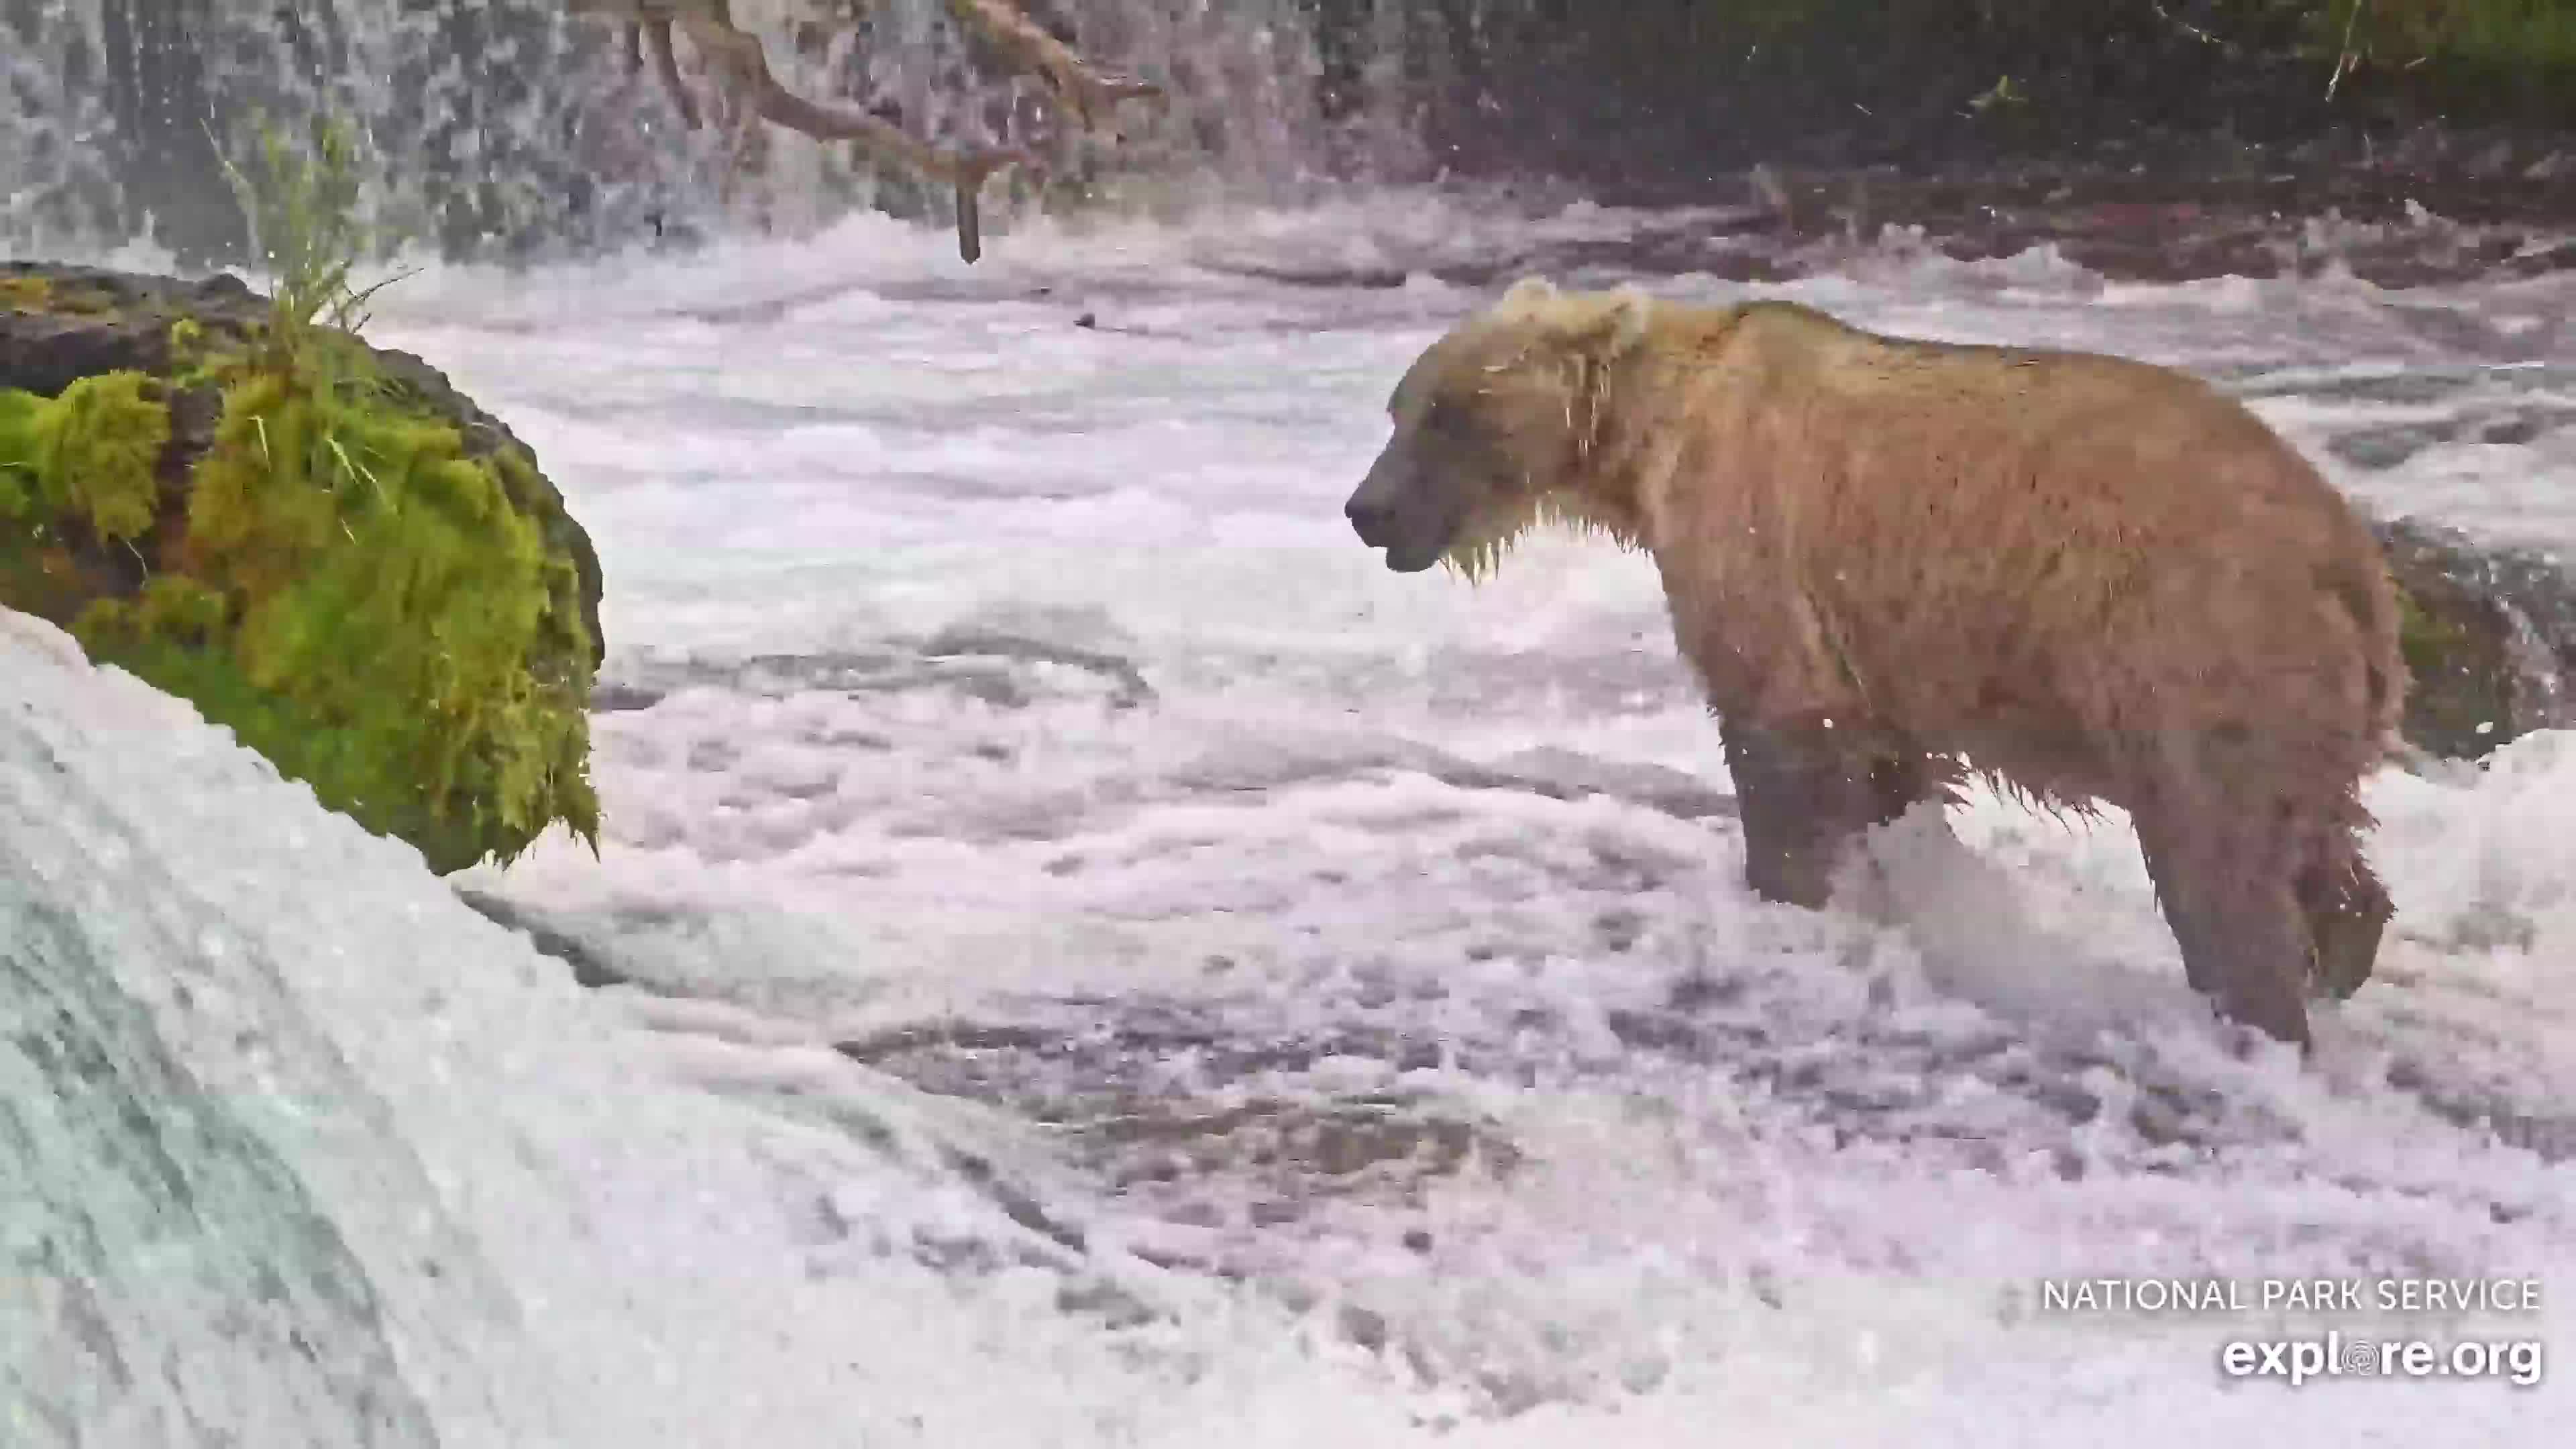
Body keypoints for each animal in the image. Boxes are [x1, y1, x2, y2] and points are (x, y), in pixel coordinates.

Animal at [1342, 278, 2405, 1051]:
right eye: (1399, 406)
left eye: (1451, 409)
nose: (1367, 510)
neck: (1647, 444)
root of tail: (2350, 557)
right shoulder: (1871, 652)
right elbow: (1887, 772)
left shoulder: (1758, 545)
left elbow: (1776, 730)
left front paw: (1783, 892)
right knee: (2317, 843)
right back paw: (2341, 951)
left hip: (2195, 642)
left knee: (2214, 854)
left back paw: (2257, 1011)